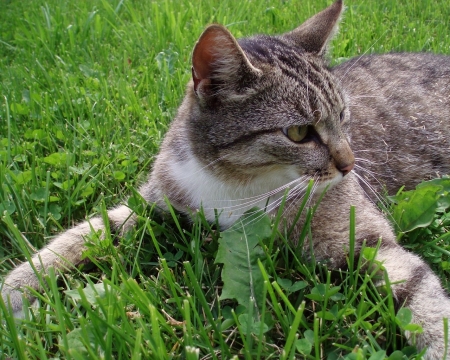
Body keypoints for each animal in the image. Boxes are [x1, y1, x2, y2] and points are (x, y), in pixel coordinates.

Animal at [2, 0, 450, 358]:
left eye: (343, 117)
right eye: (299, 133)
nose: (350, 165)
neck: (236, 181)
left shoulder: (366, 238)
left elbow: (420, 294)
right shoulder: (159, 200)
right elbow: (90, 231)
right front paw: (19, 286)